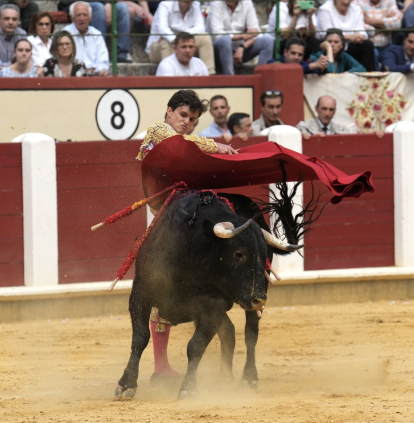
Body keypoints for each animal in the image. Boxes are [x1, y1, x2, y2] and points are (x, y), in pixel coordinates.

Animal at [114, 186, 308, 400]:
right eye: (238, 254)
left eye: (264, 256)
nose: (259, 299)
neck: (191, 250)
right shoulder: (141, 291)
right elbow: (140, 337)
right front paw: (127, 384)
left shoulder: (213, 305)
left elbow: (196, 346)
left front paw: (189, 388)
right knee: (229, 332)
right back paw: (225, 377)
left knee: (250, 334)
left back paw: (249, 377)